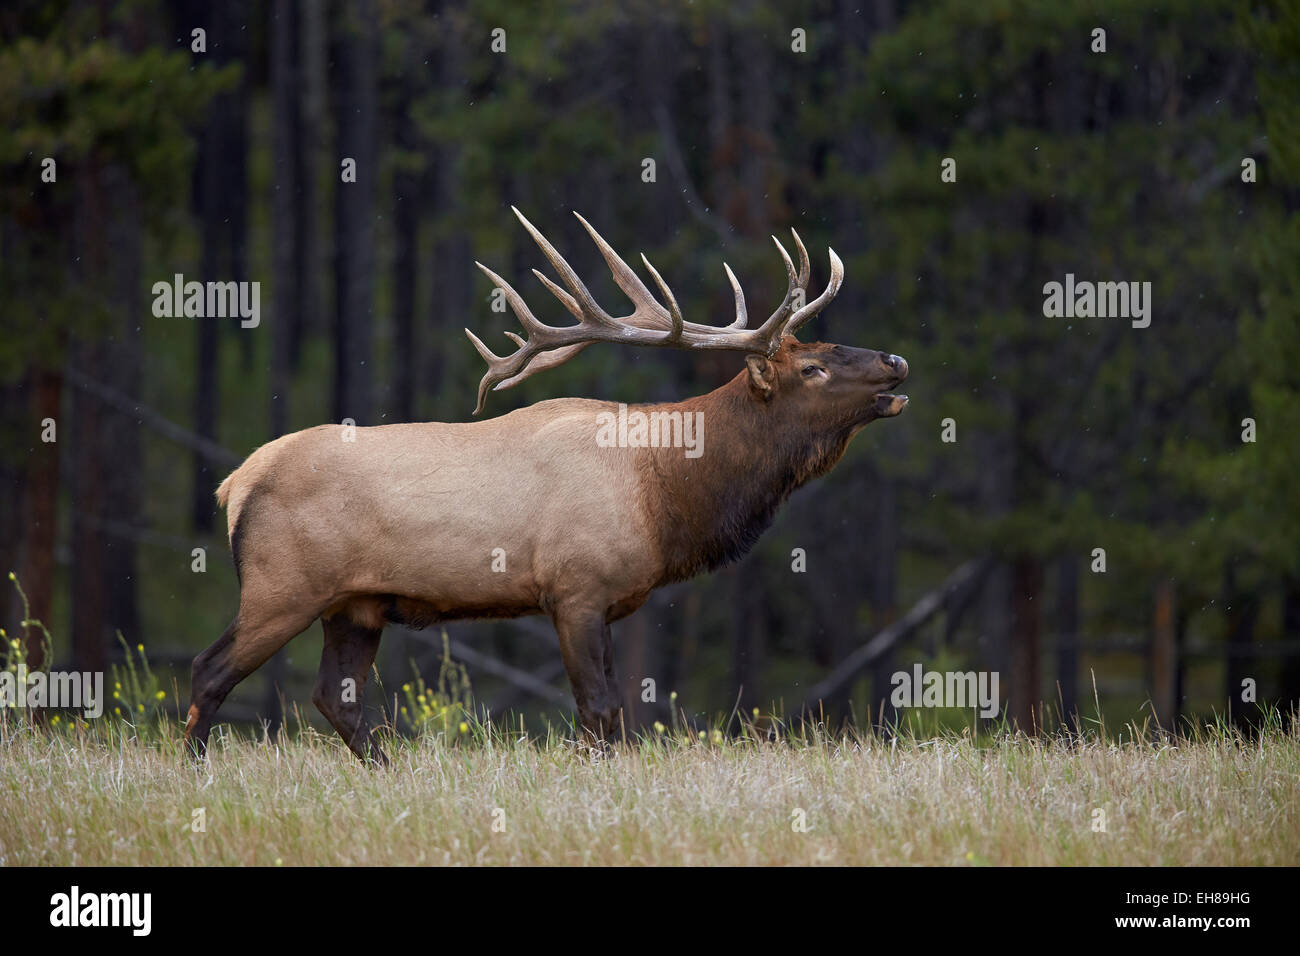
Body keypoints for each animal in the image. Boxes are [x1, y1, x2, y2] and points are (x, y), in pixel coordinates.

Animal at [188, 208, 909, 764]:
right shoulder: (576, 588)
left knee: (334, 697)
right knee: (210, 670)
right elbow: (600, 711)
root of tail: (235, 483)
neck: (668, 496)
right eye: (813, 369)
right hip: (283, 585)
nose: (895, 360)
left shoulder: (608, 601)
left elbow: (612, 717)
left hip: (355, 605)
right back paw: (196, 770)